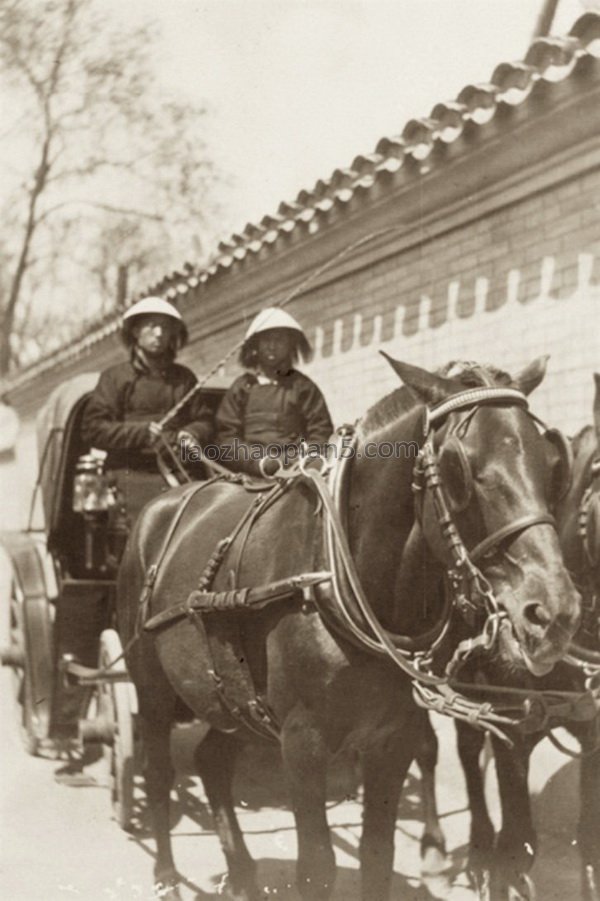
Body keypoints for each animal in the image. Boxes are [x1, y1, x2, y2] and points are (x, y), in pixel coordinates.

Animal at [115, 356, 580, 900]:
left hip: (229, 698)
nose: (556, 612)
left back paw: (243, 872)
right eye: (457, 468)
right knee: (159, 772)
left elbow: (379, 853)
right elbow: (316, 866)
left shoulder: (393, 740)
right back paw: (167, 874)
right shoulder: (302, 745)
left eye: (553, 465)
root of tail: (164, 502)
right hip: (152, 684)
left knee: (212, 760)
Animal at [448, 370, 600, 896]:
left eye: (553, 468)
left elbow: (587, 835)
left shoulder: (593, 729)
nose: (554, 614)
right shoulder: (510, 730)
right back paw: (475, 844)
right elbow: (515, 847)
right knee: (466, 753)